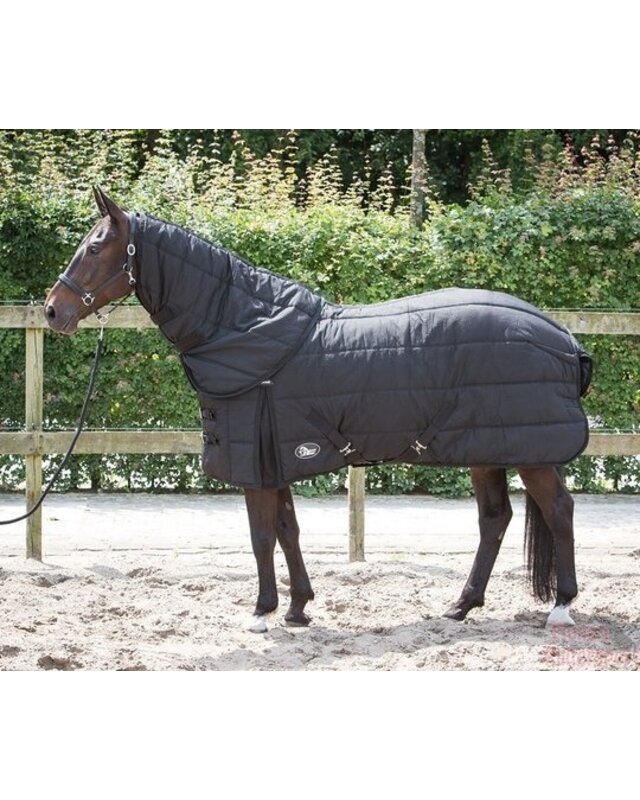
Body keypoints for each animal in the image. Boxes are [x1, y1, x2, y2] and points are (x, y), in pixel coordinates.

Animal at [44, 187, 592, 632]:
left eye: (95, 246)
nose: (52, 310)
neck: (246, 326)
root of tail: (564, 338)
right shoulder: (275, 456)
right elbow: (288, 531)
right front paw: (297, 608)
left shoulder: (255, 463)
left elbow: (261, 535)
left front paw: (262, 611)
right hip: (486, 448)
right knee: (495, 519)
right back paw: (461, 605)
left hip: (530, 452)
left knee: (559, 511)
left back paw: (561, 606)